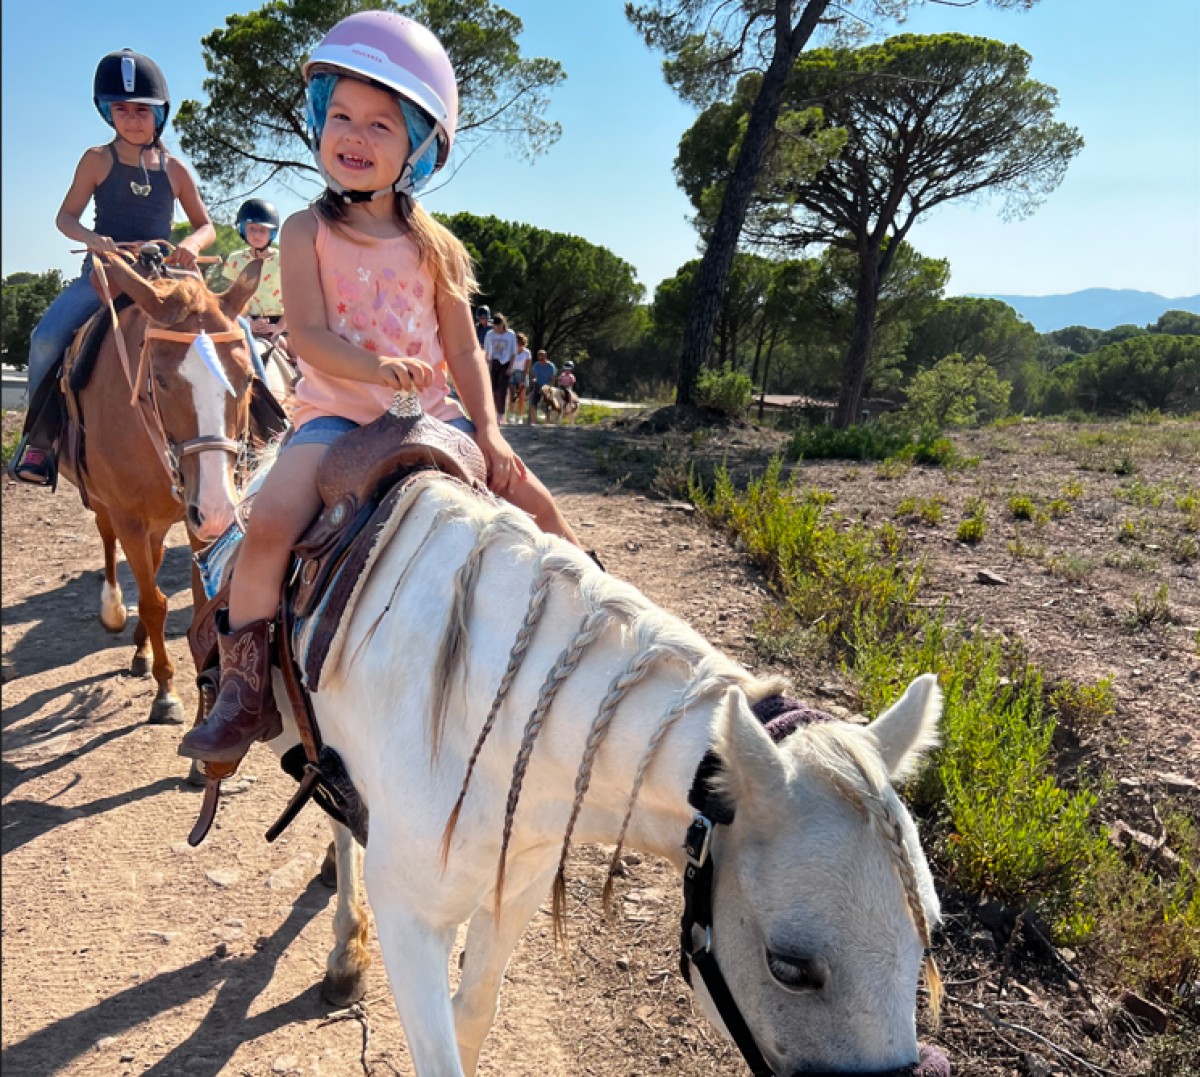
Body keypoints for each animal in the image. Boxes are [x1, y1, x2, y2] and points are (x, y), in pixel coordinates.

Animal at [60, 251, 266, 724]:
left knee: (151, 562)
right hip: (110, 507)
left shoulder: (196, 522)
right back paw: (115, 610)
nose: (217, 508)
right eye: (161, 378)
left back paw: (139, 649)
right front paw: (166, 692)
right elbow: (154, 603)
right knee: (111, 544)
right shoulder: (129, 515)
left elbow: (199, 605)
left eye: (248, 378)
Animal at [240, 460, 945, 1075]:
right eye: (789, 968)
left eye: (929, 936)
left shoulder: (518, 885)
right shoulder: (409, 919)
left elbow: (474, 1014)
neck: (488, 715)